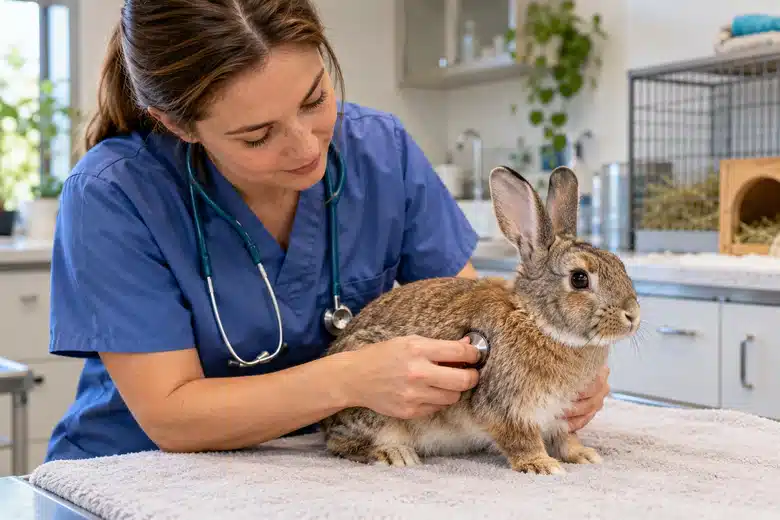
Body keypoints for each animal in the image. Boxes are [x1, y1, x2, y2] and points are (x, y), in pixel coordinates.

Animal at [320, 165, 641, 475]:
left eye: (620, 264)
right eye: (579, 279)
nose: (633, 315)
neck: (535, 320)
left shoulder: (561, 413)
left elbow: (566, 437)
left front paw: (583, 455)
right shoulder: (506, 408)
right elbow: (521, 439)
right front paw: (542, 465)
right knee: (342, 444)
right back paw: (394, 454)